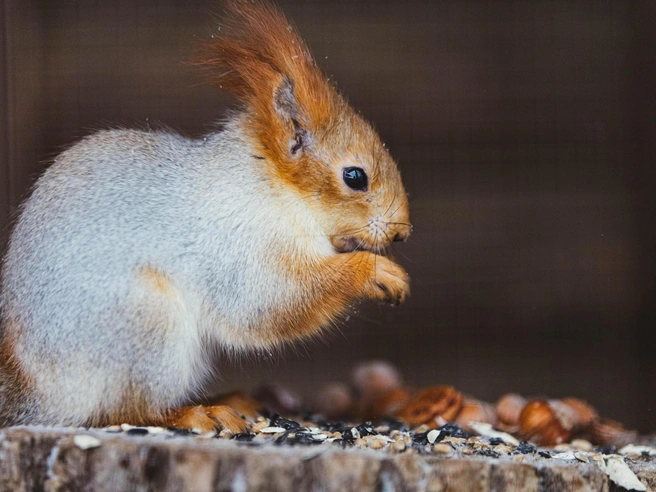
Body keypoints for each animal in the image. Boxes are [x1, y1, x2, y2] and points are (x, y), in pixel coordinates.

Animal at [0, 0, 411, 433]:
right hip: (145, 325)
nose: (402, 232)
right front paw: (376, 273)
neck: (276, 187)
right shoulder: (236, 242)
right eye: (355, 177)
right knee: (122, 412)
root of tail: (40, 396)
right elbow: (267, 301)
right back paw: (196, 412)